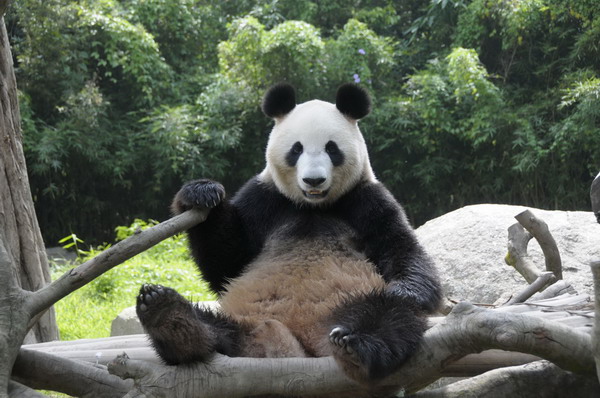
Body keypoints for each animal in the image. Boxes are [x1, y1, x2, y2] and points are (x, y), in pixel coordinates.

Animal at [138, 81, 442, 394]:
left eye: (331, 148)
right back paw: (171, 318)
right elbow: (227, 262)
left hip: (347, 306)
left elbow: (399, 246)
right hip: (248, 322)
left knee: (390, 316)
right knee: (223, 333)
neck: (313, 206)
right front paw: (202, 193)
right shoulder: (264, 200)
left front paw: (406, 290)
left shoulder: (365, 200)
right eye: (297, 149)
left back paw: (356, 345)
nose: (313, 180)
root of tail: (296, 350)